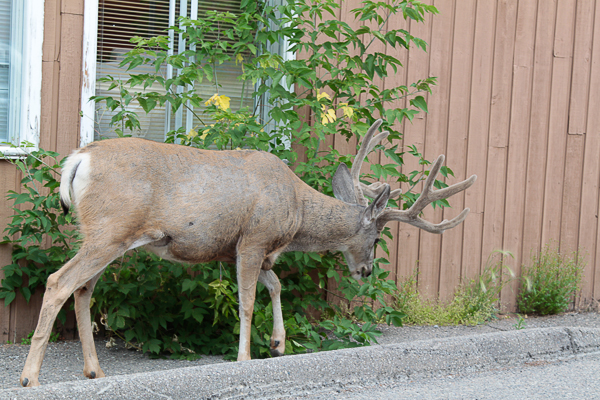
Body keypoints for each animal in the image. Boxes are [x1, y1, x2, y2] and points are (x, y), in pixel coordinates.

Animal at [18, 120, 476, 386]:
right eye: (378, 239)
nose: (365, 271)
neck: (296, 210)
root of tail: (78, 160)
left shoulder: (238, 248)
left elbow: (275, 286)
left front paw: (277, 343)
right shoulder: (255, 238)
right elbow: (247, 300)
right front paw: (245, 357)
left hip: (106, 236)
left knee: (82, 290)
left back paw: (94, 371)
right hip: (110, 230)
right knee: (58, 282)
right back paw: (30, 378)